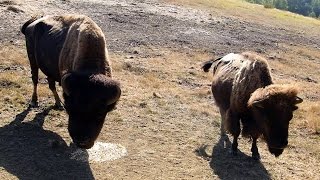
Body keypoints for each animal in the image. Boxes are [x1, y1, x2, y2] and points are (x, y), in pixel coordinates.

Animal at [21, 14, 121, 149]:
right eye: (70, 109)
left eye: (100, 113)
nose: (82, 142)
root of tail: (32, 24)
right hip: (32, 60)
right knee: (35, 79)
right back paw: (34, 101)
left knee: (51, 85)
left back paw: (58, 104)